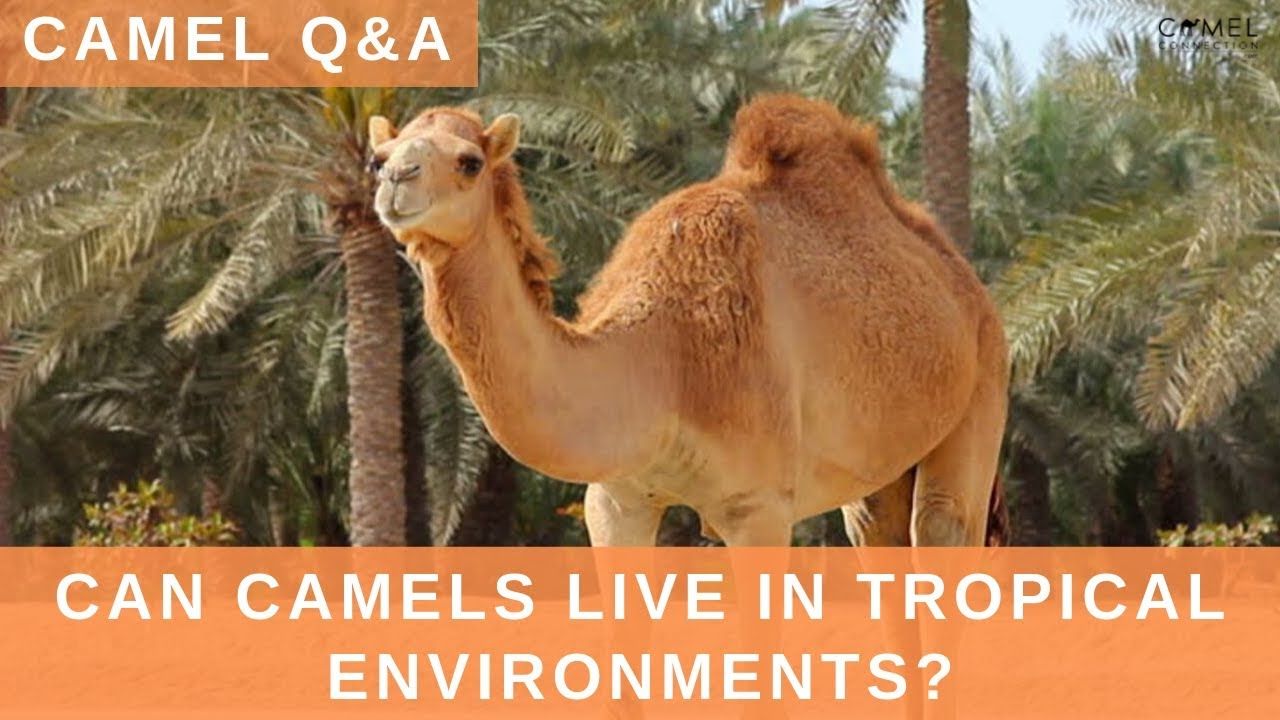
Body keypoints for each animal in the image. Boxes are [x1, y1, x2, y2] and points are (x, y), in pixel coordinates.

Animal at [367, 94, 1009, 548]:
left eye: (469, 161)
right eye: (377, 158)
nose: (396, 180)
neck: (661, 362)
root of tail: (966, 283)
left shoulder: (758, 504)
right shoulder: (616, 500)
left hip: (983, 386)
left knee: (942, 523)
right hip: (878, 473)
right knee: (879, 530)